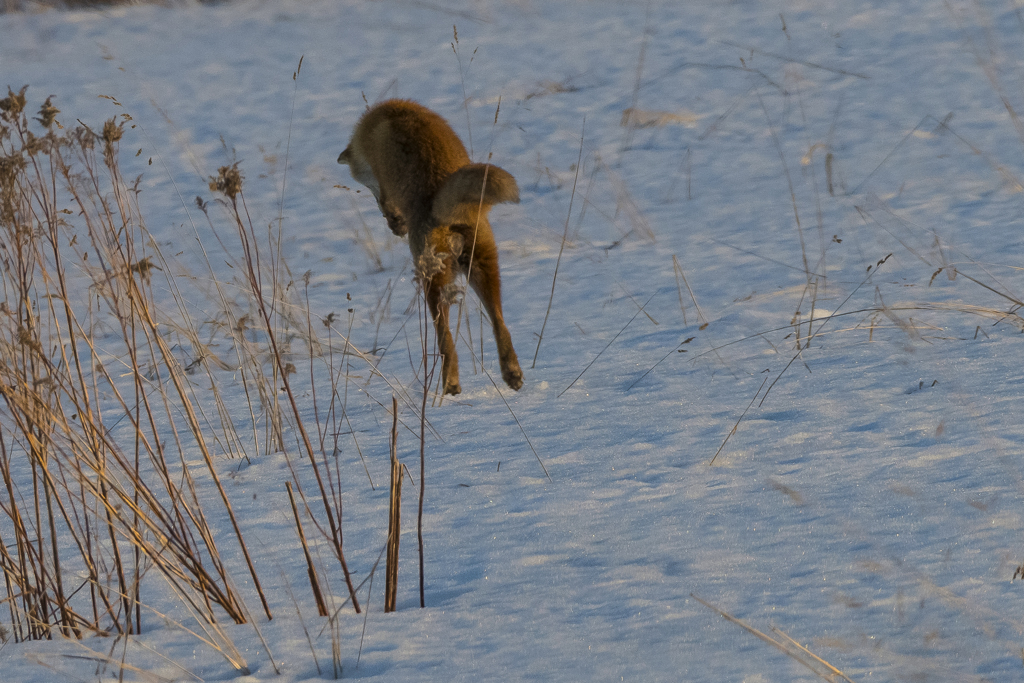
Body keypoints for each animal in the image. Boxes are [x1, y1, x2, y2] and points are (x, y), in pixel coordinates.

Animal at [339, 96, 524, 395]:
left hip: (432, 283)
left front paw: (394, 222)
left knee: (446, 340)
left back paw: (450, 384)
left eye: (367, 186)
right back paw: (512, 373)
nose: (396, 226)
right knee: (500, 323)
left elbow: (389, 203)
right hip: (484, 268)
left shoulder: (385, 185)